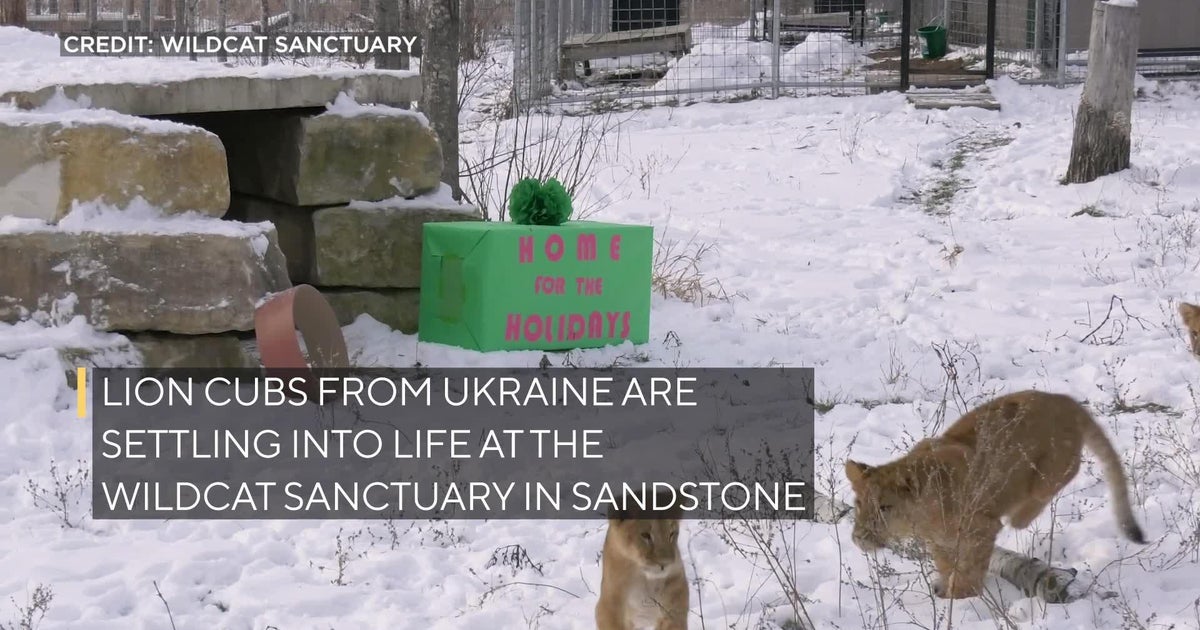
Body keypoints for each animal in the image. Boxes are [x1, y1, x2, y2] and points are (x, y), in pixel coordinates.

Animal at [595, 490, 689, 630]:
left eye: (671, 533)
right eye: (645, 535)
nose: (665, 564)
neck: (646, 580)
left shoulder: (674, 610)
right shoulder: (608, 607)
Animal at [844, 390, 1146, 599]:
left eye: (885, 507)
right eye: (859, 504)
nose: (859, 538)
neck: (922, 519)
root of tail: (1063, 398)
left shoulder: (981, 528)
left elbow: (971, 567)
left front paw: (963, 595)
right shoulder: (939, 542)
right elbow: (946, 563)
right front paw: (946, 588)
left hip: (1052, 469)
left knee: (1061, 477)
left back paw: (1021, 518)